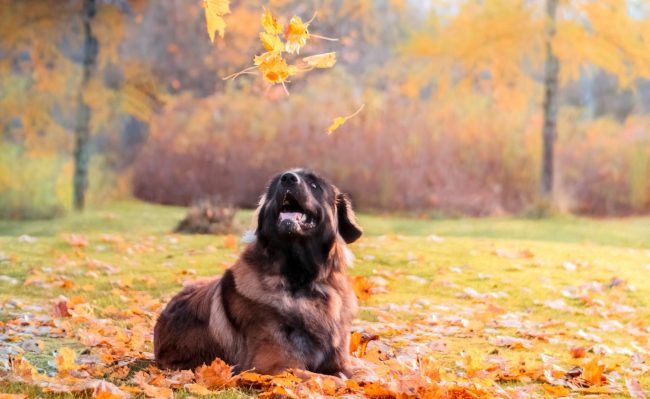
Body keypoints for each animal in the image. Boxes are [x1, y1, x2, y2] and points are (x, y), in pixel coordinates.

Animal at [154, 170, 362, 378]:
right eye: (276, 183)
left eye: (314, 185)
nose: (288, 178)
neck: (304, 281)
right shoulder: (275, 366)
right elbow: (332, 380)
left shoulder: (340, 363)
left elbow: (357, 375)